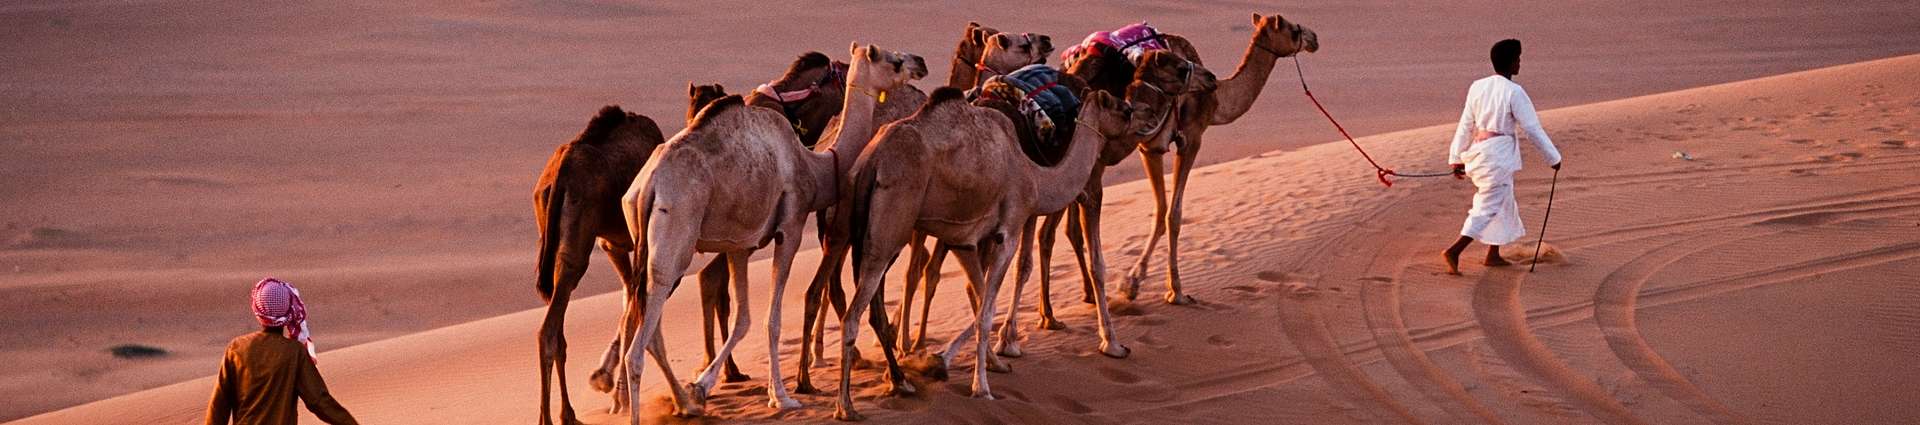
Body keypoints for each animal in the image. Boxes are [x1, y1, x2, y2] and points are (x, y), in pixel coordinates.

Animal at [610, 42, 917, 419]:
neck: (814, 165)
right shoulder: (791, 227)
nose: (920, 64)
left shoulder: (740, 245)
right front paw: (782, 396)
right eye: (893, 59)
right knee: (638, 346)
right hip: (674, 238)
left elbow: (744, 319)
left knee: (645, 322)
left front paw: (702, 386)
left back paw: (684, 402)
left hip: (643, 236)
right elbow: (773, 318)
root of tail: (648, 186)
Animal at [829, 84, 1152, 419]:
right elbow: (986, 308)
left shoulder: (964, 241)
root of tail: (871, 162)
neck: (1034, 176)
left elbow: (981, 298)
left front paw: (978, 361)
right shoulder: (1008, 230)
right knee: (852, 315)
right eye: (1124, 110)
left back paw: (895, 382)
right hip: (888, 231)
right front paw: (980, 387)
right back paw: (847, 405)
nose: (1149, 115)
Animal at [1113, 12, 1320, 305]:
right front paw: (1174, 290)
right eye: (1292, 29)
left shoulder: (1151, 148)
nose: (1314, 38)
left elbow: (1161, 212)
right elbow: (1173, 215)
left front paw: (1132, 282)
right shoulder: (1190, 138)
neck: (1217, 99)